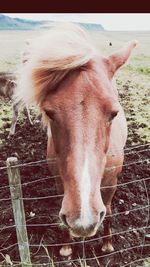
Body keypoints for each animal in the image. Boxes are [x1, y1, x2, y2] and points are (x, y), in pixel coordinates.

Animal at [15, 23, 137, 262]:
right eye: (49, 113)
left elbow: (108, 211)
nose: (83, 221)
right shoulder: (59, 180)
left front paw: (107, 245)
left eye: (114, 113)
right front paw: (66, 247)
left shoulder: (111, 182)